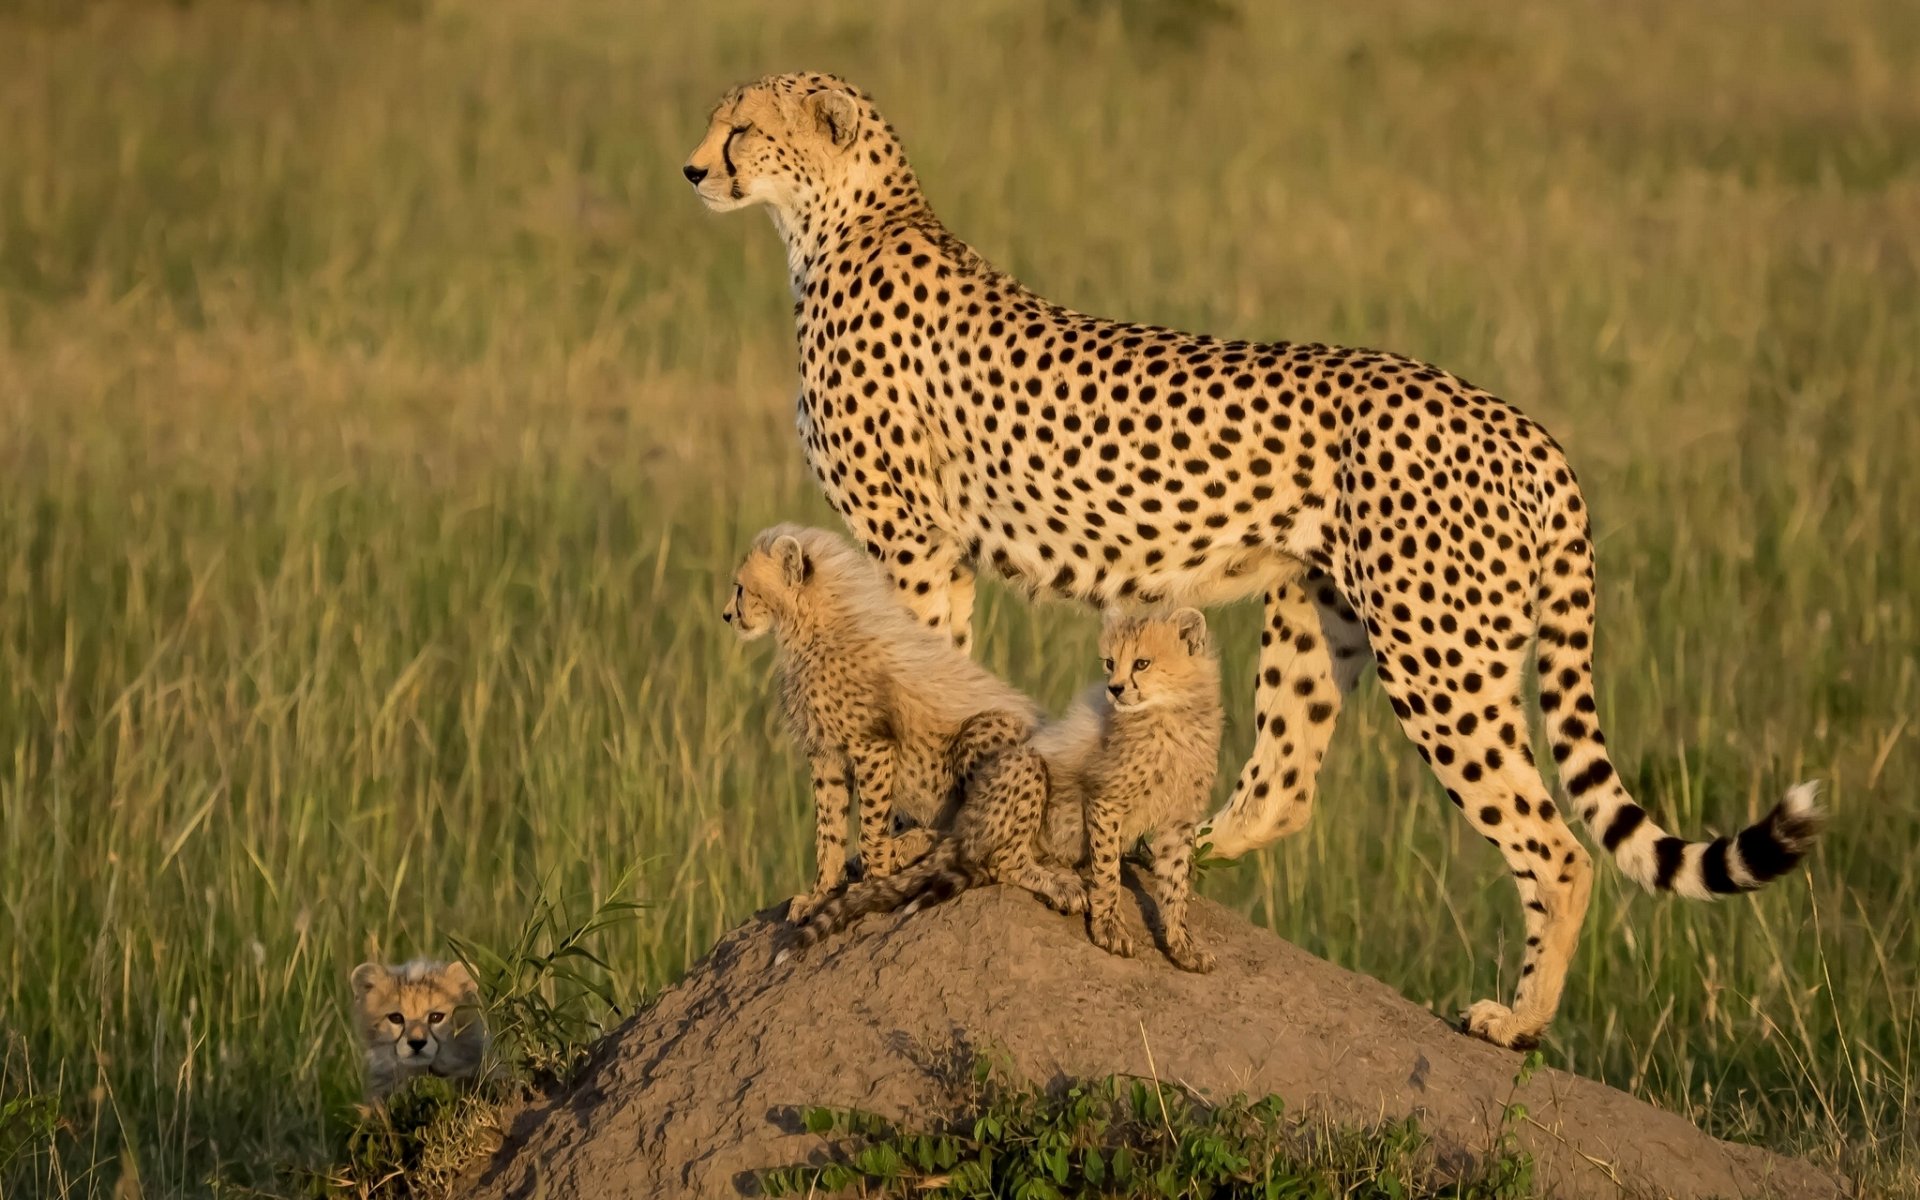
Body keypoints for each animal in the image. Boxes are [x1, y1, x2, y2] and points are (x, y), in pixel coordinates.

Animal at [683, 72, 1820, 1044]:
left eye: (743, 128)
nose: (693, 170)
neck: (845, 224)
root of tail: (1523, 424)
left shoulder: (911, 539)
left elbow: (917, 679)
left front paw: (901, 843)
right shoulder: (941, 550)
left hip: (1442, 655)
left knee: (1557, 843)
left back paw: (1517, 1020)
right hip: (1319, 612)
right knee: (1283, 787)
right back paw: (1167, 851)